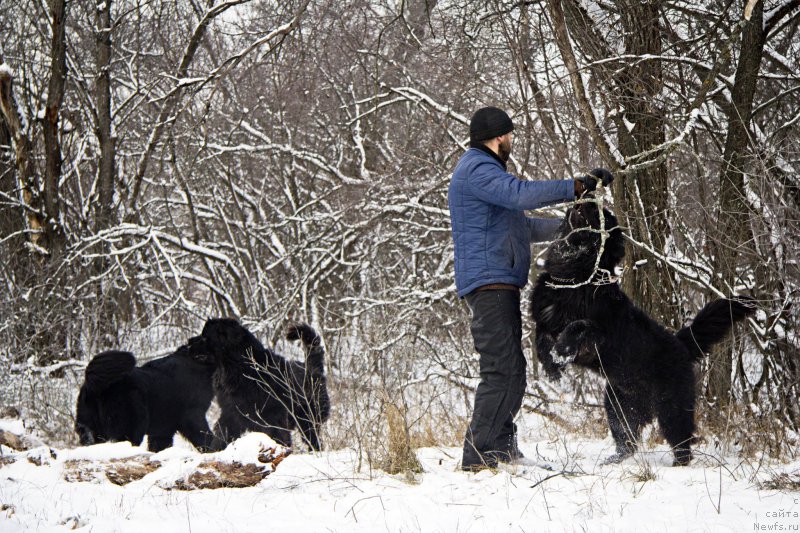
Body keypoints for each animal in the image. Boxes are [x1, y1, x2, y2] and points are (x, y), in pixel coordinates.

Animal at [74, 342, 220, 450]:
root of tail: (95, 385)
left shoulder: (163, 429)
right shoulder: (193, 416)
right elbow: (204, 436)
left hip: (91, 425)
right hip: (132, 424)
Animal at [188, 318, 332, 450]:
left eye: (205, 338)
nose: (188, 343)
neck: (238, 368)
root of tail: (313, 367)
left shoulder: (272, 418)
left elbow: (277, 437)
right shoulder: (230, 414)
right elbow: (221, 436)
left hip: (309, 419)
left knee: (313, 439)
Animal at [532, 197, 756, 464]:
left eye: (602, 216)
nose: (588, 199)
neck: (574, 279)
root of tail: (681, 344)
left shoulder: (599, 333)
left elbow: (578, 326)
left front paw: (561, 353)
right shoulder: (544, 321)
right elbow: (541, 339)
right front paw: (551, 366)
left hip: (672, 409)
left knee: (682, 441)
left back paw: (678, 465)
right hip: (617, 404)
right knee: (627, 440)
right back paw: (614, 461)